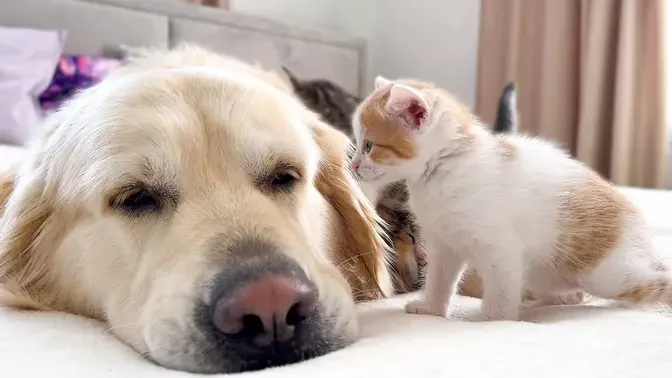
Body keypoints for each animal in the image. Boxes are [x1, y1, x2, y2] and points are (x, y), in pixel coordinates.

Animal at [350, 77, 668, 322]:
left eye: (369, 146)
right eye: (357, 144)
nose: (353, 166)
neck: (443, 170)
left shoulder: (500, 247)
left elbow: (501, 290)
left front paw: (495, 320)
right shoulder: (443, 244)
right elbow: (439, 279)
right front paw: (431, 308)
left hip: (609, 274)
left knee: (655, 282)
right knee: (574, 294)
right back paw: (553, 299)